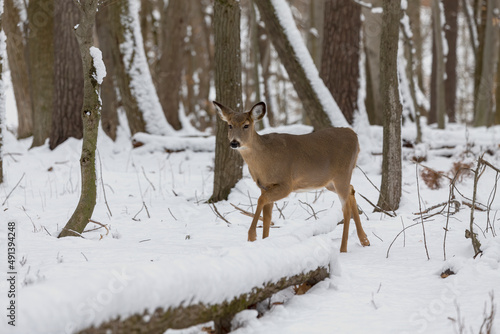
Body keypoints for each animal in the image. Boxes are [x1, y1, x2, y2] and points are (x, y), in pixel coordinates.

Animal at [213, 100, 370, 252]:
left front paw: (252, 236)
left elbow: (260, 201)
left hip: (342, 174)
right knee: (352, 189)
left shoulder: (286, 184)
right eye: (230, 125)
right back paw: (365, 240)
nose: (234, 142)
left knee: (346, 209)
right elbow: (267, 216)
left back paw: (343, 249)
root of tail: (354, 135)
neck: (264, 159)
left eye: (246, 125)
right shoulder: (265, 186)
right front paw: (264, 241)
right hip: (329, 181)